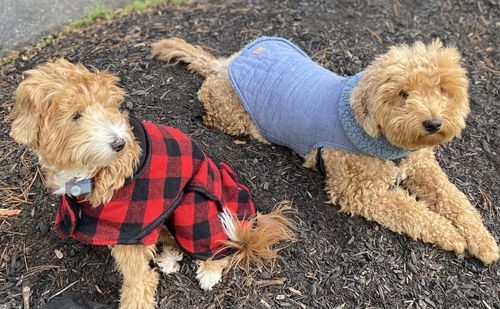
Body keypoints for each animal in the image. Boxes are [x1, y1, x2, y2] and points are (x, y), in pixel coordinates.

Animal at [9, 58, 294, 308]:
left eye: (109, 106)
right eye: (76, 116)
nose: (120, 144)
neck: (93, 171)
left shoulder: (133, 229)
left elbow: (139, 277)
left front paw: (136, 300)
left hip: (193, 204)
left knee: (219, 243)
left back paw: (209, 269)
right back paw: (169, 256)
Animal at [152, 36, 500, 262]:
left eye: (443, 89)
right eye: (403, 93)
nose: (433, 123)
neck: (385, 141)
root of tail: (227, 63)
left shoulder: (424, 168)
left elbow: (457, 201)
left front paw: (482, 240)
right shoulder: (359, 191)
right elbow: (411, 212)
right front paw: (451, 235)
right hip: (232, 113)